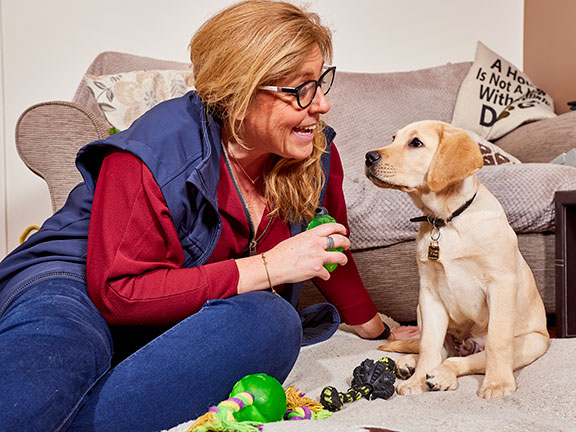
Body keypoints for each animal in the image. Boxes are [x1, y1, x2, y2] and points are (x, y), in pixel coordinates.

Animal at [364, 120, 548, 400]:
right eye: (393, 138)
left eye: (415, 143)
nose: (368, 157)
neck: (446, 220)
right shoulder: (428, 292)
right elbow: (429, 344)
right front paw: (418, 381)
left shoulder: (501, 284)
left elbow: (497, 341)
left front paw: (498, 383)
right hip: (420, 310)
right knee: (439, 350)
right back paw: (412, 365)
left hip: (533, 342)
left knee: (467, 359)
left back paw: (443, 375)